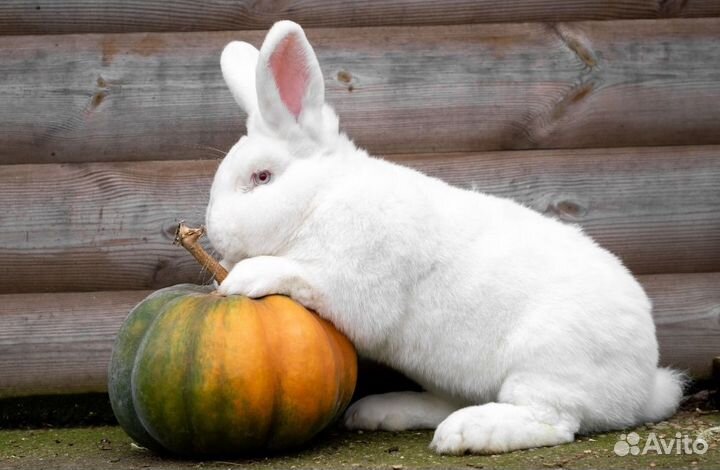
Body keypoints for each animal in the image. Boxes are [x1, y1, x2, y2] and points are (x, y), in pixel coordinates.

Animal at [205, 20, 684, 454]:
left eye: (262, 177)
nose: (214, 231)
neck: (322, 196)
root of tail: (645, 385)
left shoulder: (353, 282)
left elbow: (301, 276)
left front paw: (243, 276)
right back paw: (383, 411)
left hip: (549, 361)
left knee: (553, 420)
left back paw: (467, 433)